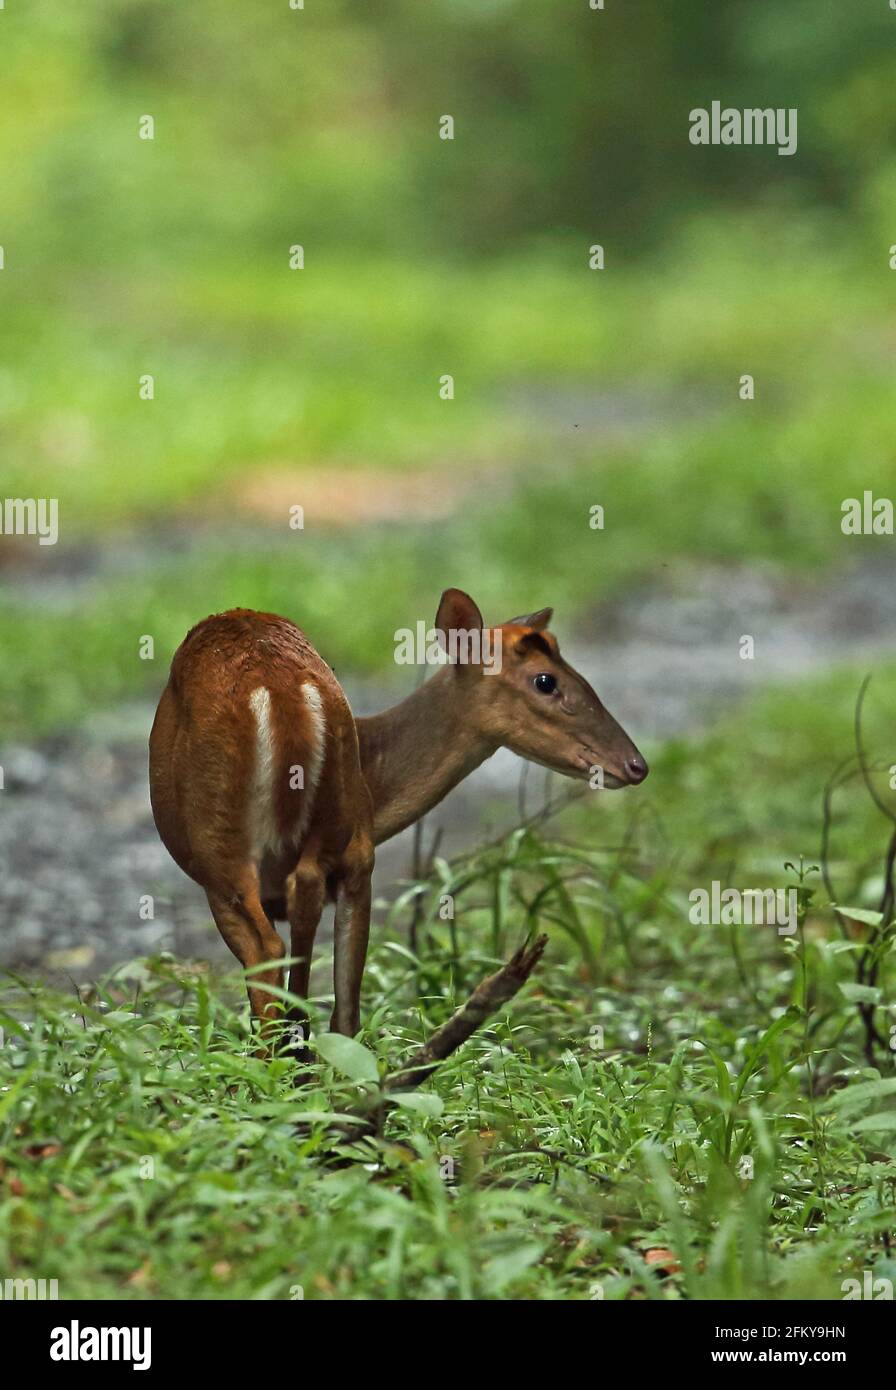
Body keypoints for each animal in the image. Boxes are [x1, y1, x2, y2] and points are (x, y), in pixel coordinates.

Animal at [150, 586, 647, 1045]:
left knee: (272, 953)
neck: (375, 772)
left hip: (221, 854)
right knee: (335, 992)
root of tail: (283, 692)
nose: (636, 765)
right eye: (546, 681)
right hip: (341, 843)